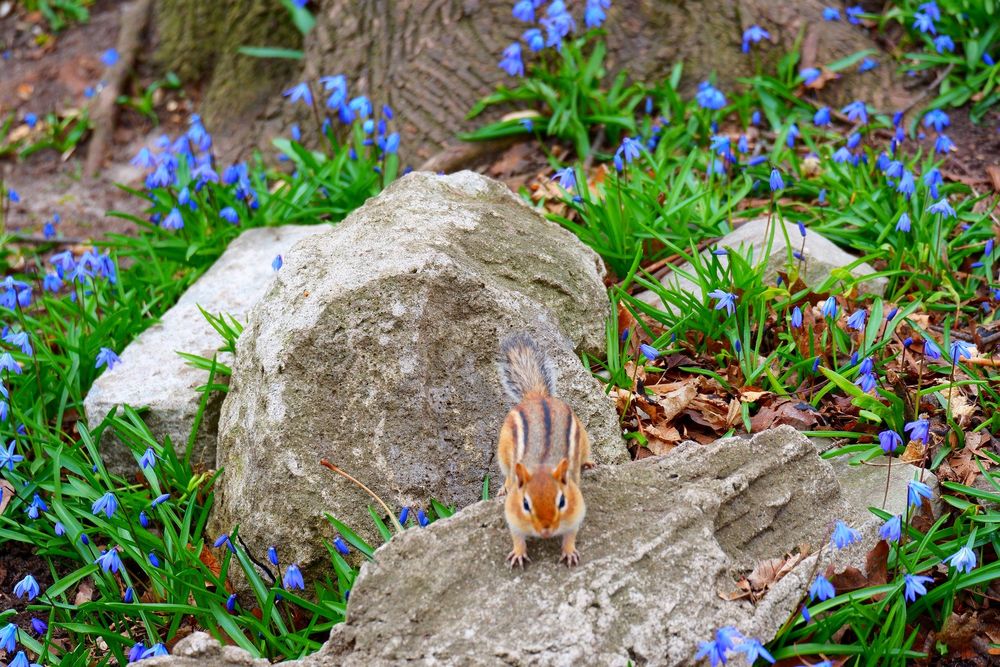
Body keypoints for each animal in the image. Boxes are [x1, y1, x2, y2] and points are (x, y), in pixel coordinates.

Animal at [496, 334, 593, 568]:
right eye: (525, 504)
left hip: (584, 439)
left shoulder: (576, 510)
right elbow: (516, 535)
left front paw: (569, 552)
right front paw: (518, 553)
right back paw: (504, 487)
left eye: (562, 501)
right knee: (507, 473)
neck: (542, 465)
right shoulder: (512, 514)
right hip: (502, 453)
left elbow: (571, 533)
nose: (546, 530)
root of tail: (536, 396)